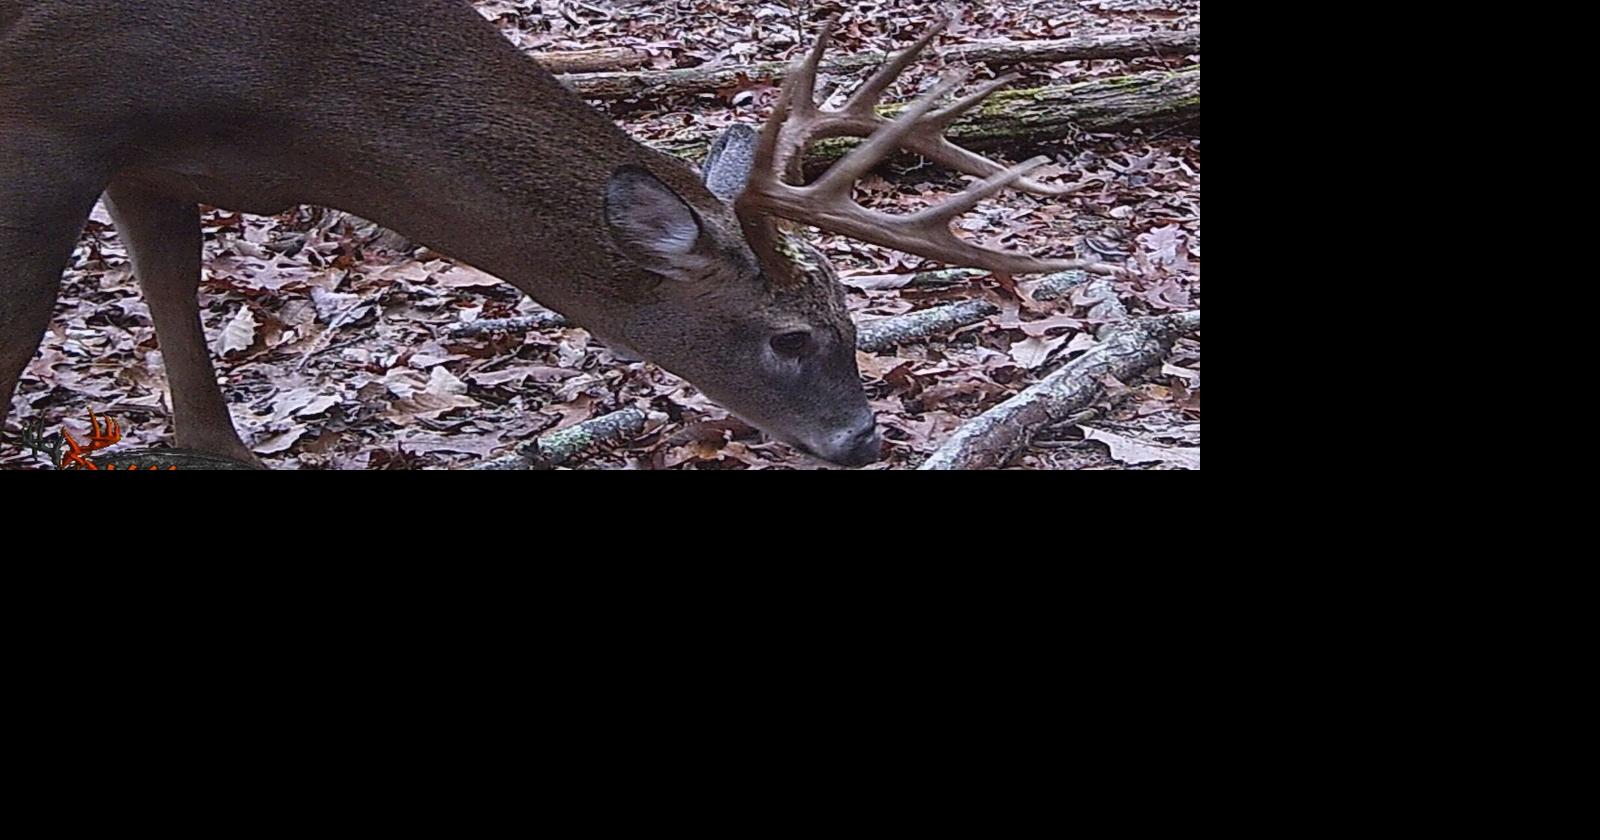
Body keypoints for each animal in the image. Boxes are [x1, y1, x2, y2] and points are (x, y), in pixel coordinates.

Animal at [1, 1, 1116, 468]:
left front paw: (215, 448)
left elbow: (181, 323)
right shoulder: (52, 110)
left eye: (849, 323)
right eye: (790, 337)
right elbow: (20, 332)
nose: (866, 441)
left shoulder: (147, 161)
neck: (288, 105)